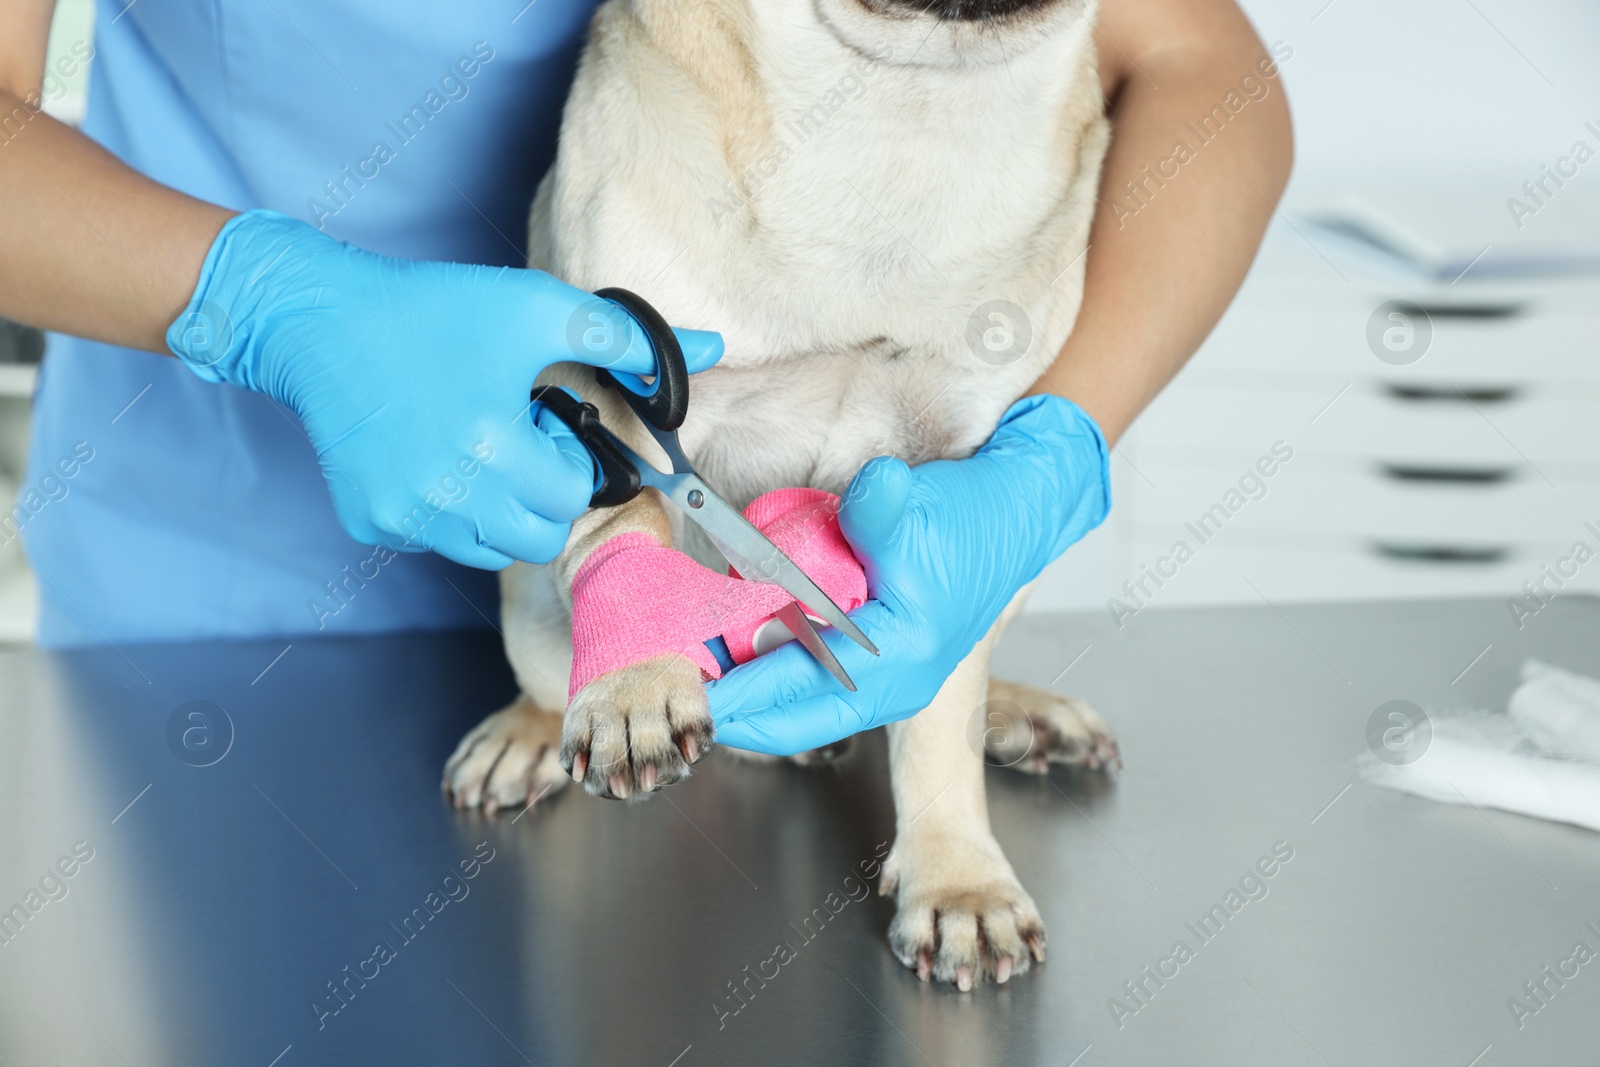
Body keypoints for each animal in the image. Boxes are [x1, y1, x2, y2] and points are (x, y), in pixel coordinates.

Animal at [444, 0, 1120, 991]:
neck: (907, 96)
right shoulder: (596, 378)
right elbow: (627, 514)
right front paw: (635, 680)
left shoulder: (954, 490)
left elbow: (940, 707)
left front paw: (958, 878)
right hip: (526, 591)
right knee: (545, 659)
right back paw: (533, 730)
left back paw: (1019, 714)